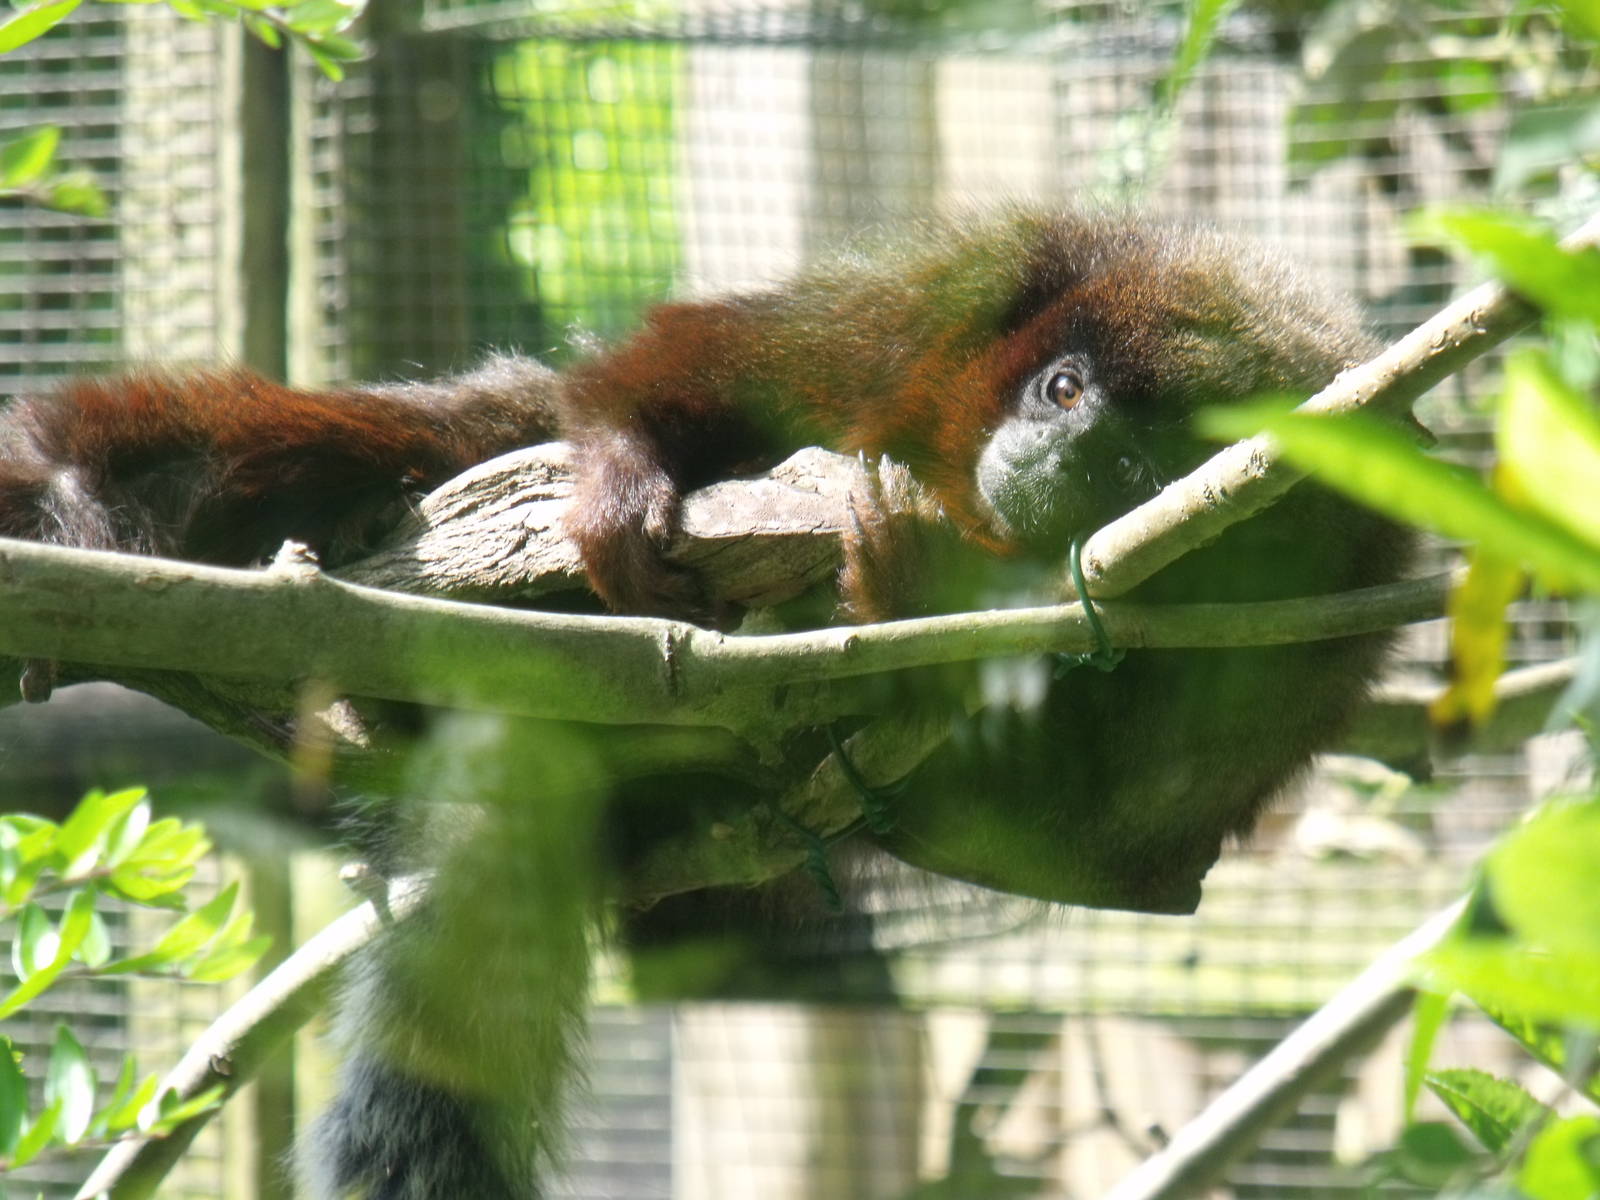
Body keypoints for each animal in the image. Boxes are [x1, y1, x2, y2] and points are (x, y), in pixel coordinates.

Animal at [0, 208, 1414, 1197]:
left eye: (1136, 466)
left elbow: (1096, 850)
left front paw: (905, 600)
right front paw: (629, 472)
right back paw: (78, 494)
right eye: (1062, 389)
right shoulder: (971, 296)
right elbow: (727, 354)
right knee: (418, 432)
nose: (1054, 447)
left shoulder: (1304, 653)